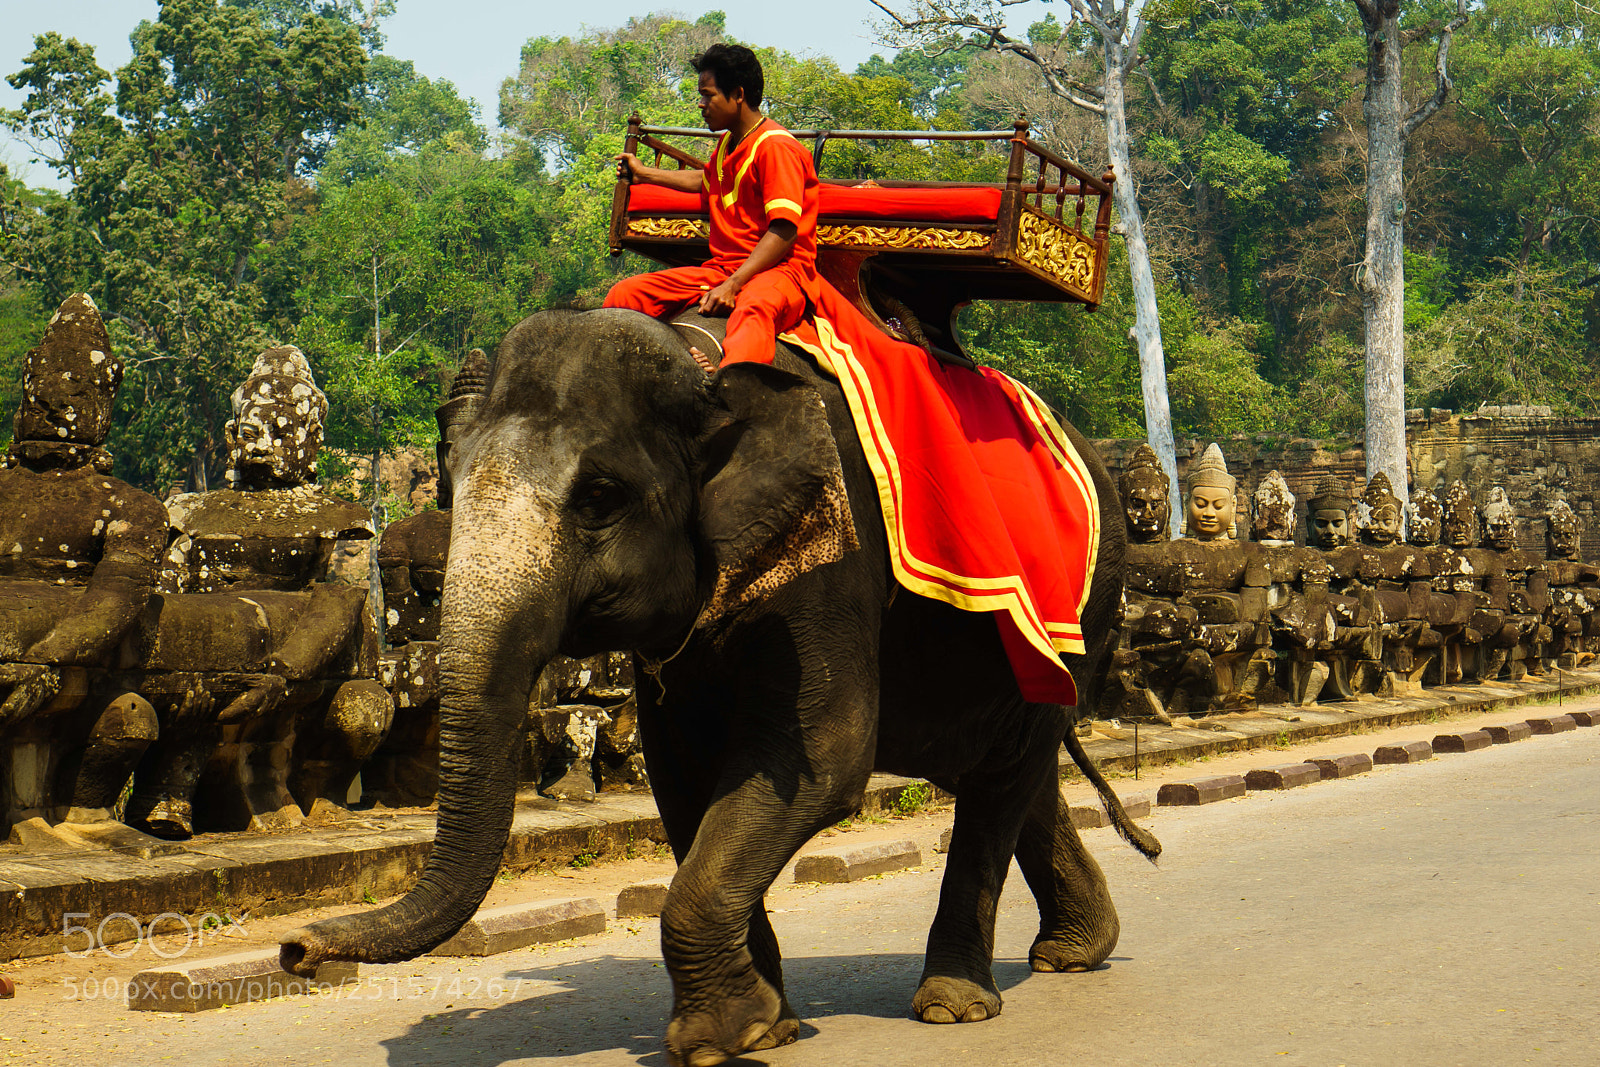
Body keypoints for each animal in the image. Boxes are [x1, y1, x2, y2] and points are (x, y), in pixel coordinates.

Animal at [281, 308, 1157, 1065]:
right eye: (448, 489)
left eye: (598, 499)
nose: (296, 948)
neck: (701, 364)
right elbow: (686, 776)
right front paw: (766, 1026)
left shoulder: (833, 552)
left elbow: (820, 760)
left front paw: (713, 1041)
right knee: (1003, 767)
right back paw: (1074, 951)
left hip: (1085, 607)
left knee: (1004, 770)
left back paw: (954, 1002)